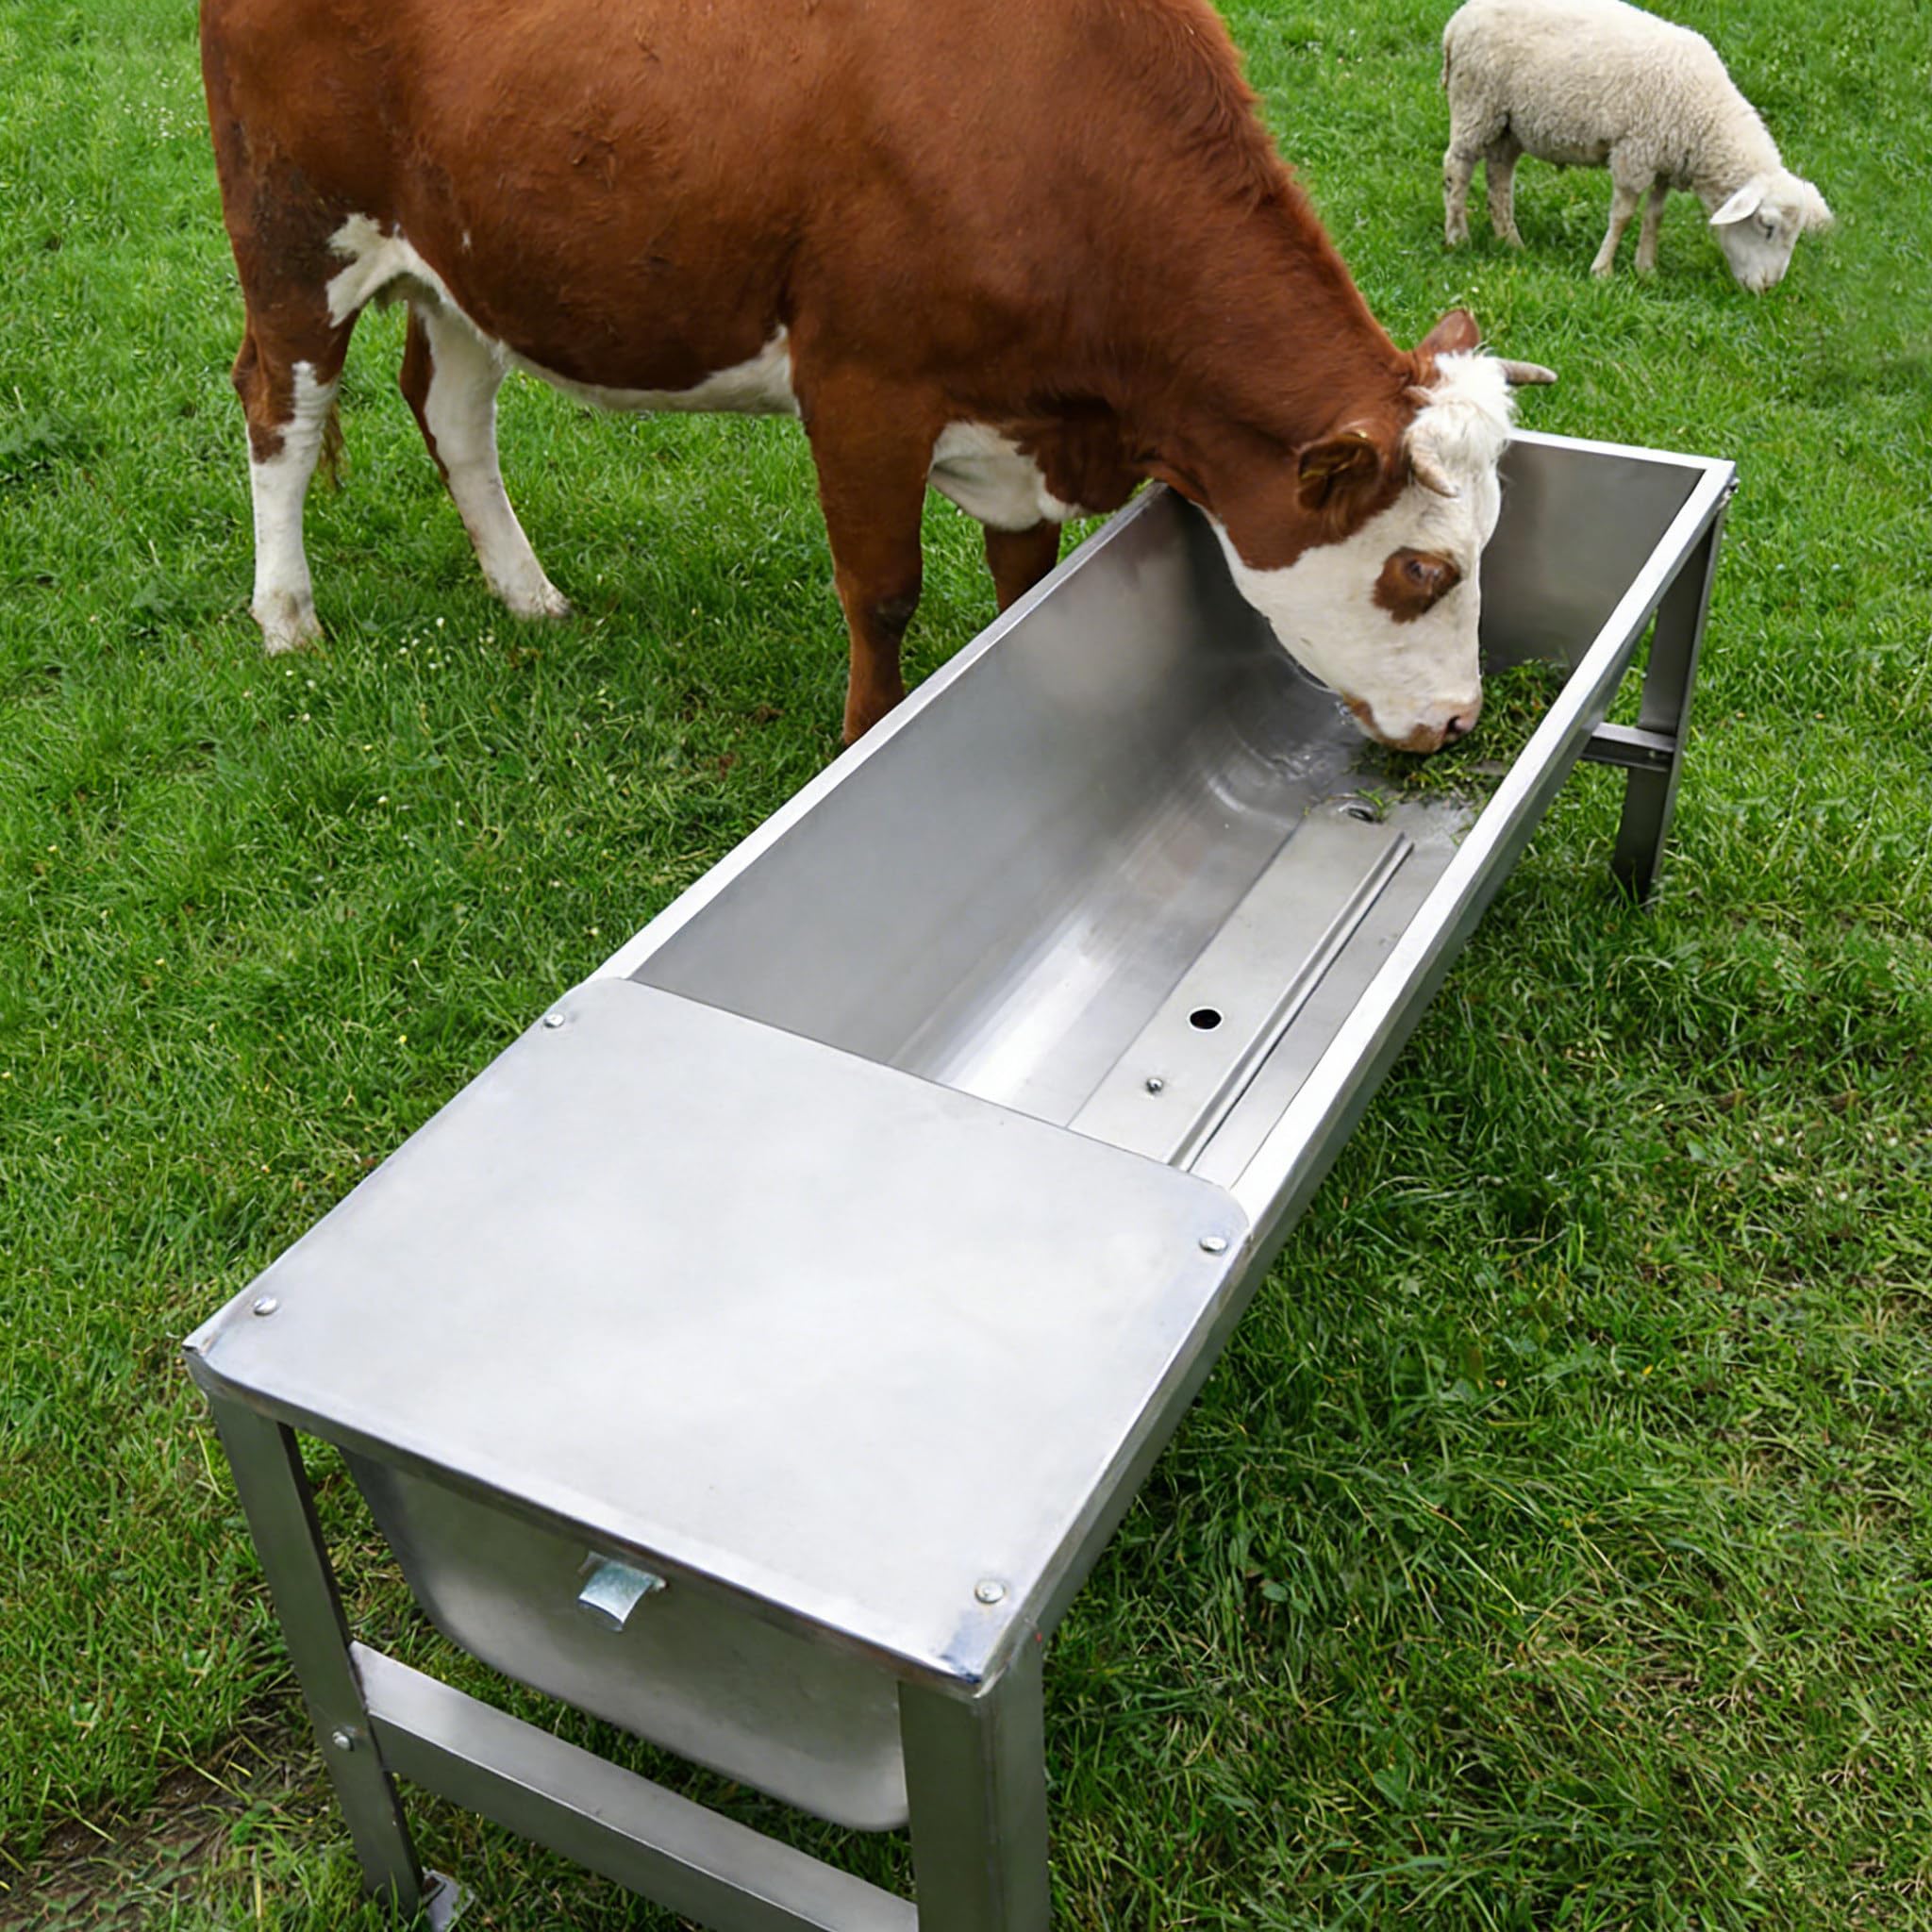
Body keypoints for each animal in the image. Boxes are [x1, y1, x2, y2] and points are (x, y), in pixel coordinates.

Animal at [1441, 0, 1833, 291]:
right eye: (1767, 226)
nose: (1767, 288)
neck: (1706, 117)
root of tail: (1457, 22)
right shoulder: (1635, 152)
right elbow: (1624, 215)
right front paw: (1602, 270)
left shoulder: (1665, 159)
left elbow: (1654, 214)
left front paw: (1646, 268)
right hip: (1476, 102)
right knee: (1457, 166)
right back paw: (1457, 236)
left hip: (1510, 125)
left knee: (1499, 176)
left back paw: (1510, 241)